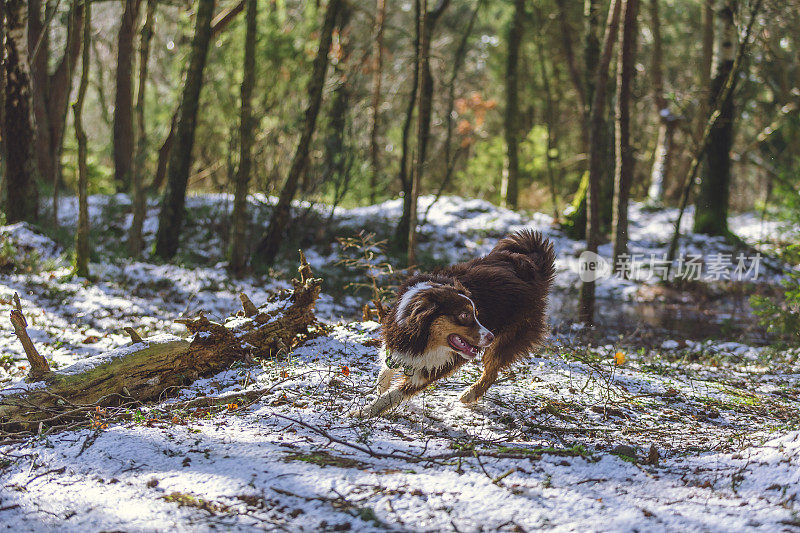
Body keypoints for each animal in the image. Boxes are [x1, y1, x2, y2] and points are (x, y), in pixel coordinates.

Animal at [356, 228, 556, 416]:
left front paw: (363, 412)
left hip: (509, 338)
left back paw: (470, 394)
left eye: (476, 314)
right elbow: (385, 370)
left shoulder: (430, 371)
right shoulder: (396, 342)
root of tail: (533, 268)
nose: (491, 336)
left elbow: (392, 395)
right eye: (465, 315)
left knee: (492, 372)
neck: (423, 340)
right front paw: (379, 390)